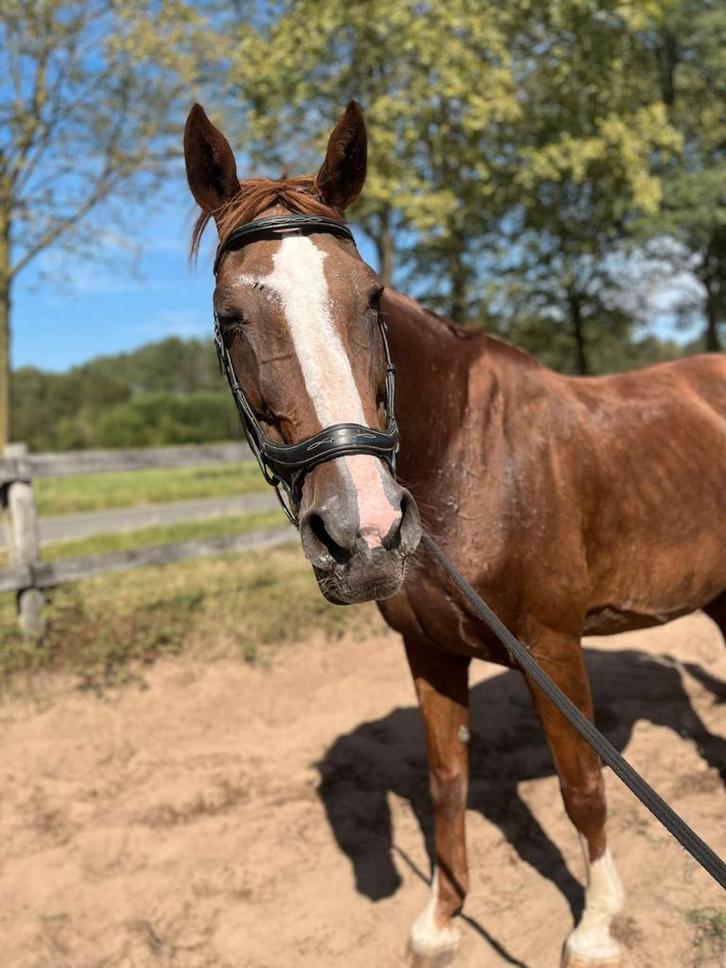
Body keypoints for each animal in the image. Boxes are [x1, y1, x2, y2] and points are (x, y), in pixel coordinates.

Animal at [183, 100, 726, 968]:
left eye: (372, 298)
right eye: (231, 318)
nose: (364, 533)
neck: (468, 457)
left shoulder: (551, 646)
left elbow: (583, 785)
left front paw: (597, 925)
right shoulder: (428, 650)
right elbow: (446, 783)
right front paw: (442, 919)